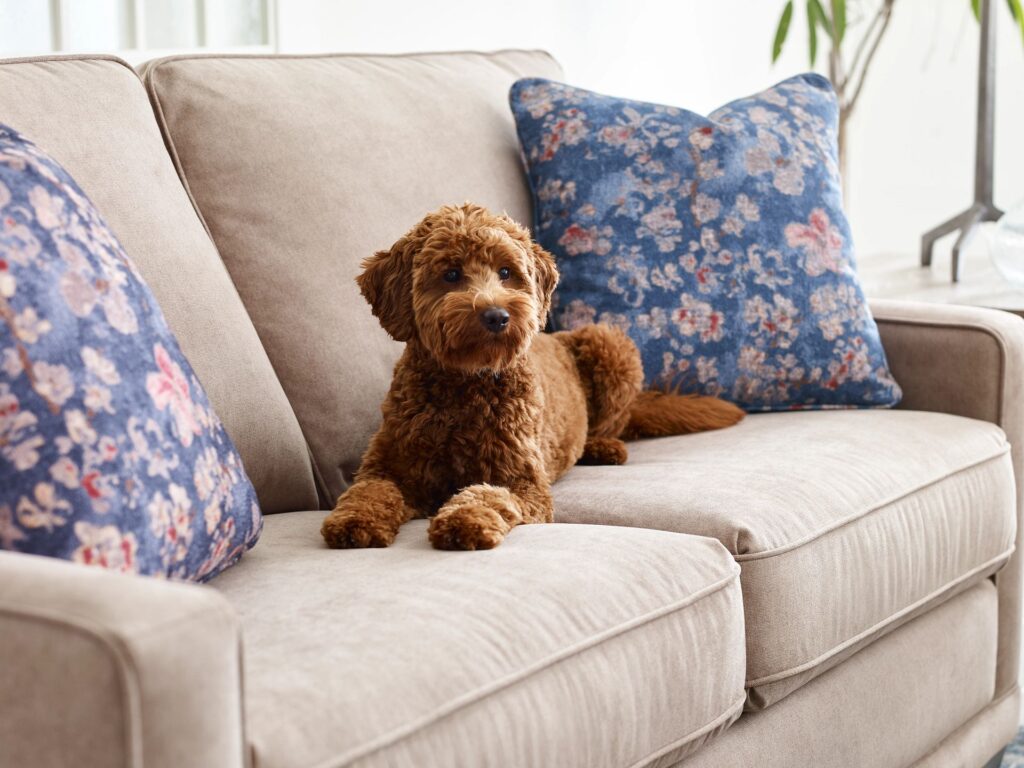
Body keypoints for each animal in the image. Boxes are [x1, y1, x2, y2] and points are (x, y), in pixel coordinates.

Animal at [321, 204, 745, 548]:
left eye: (506, 272)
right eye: (451, 274)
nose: (496, 316)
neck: (465, 385)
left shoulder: (523, 483)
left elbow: (488, 495)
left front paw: (464, 520)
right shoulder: (386, 467)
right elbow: (368, 492)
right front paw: (354, 522)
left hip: (609, 343)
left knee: (614, 424)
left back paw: (602, 447)